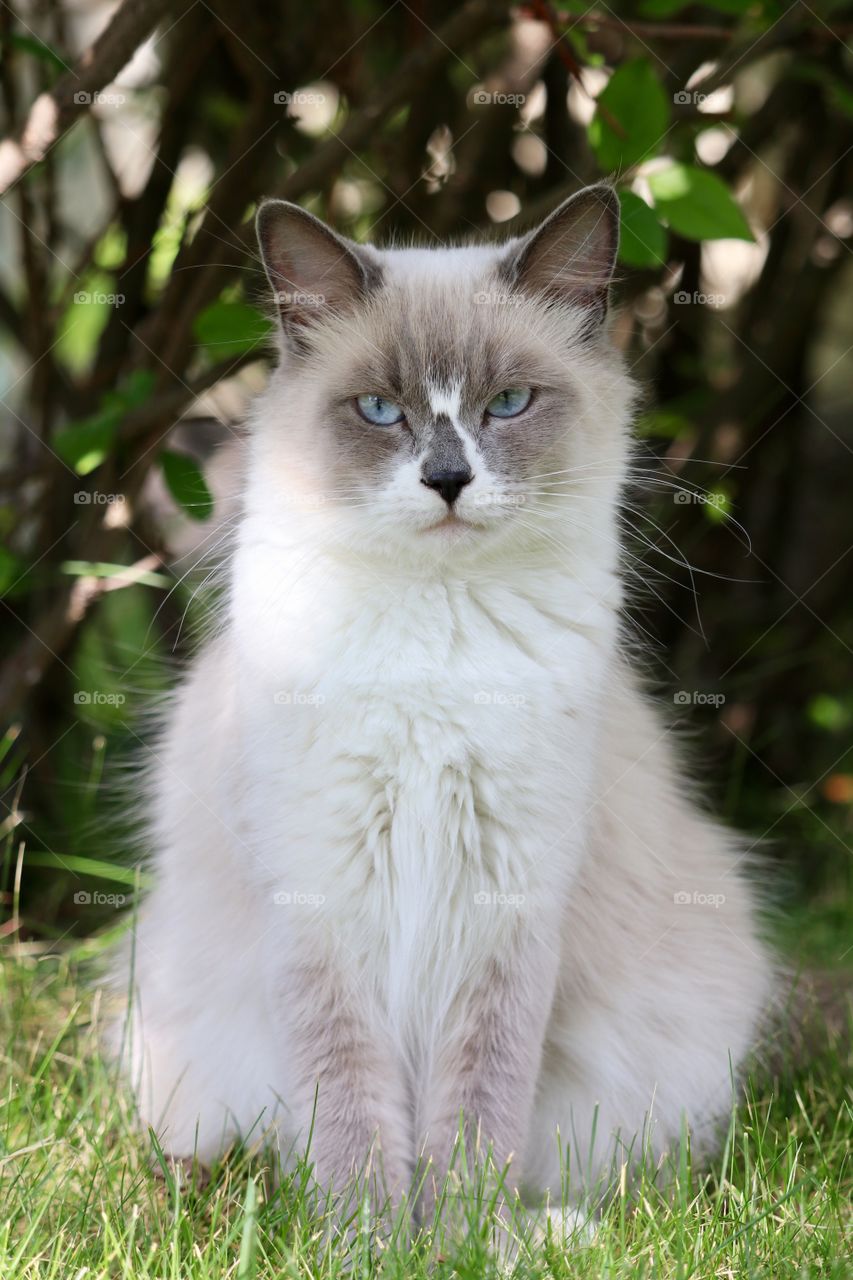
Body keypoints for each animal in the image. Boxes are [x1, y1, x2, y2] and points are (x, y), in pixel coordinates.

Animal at [114, 185, 778, 1223]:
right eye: (379, 411)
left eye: (505, 404)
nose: (447, 481)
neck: (438, 634)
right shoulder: (324, 899)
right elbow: (352, 1109)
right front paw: (372, 1239)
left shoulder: (505, 899)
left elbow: (473, 1110)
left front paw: (459, 1238)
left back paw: (548, 1231)